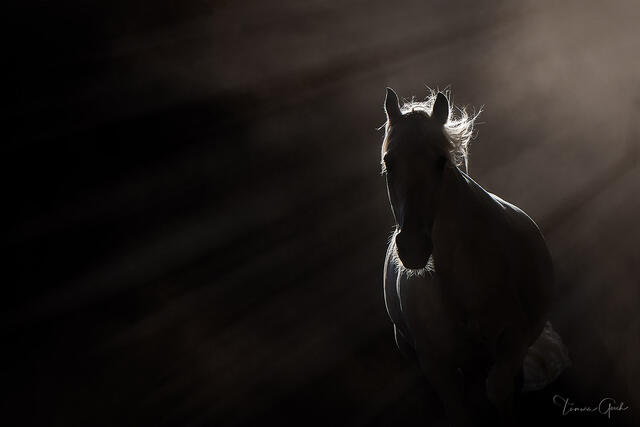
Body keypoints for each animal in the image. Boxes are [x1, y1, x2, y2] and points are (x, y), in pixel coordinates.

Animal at [380, 88, 570, 426]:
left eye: (441, 162)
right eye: (389, 162)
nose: (413, 248)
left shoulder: (515, 337)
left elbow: (498, 390)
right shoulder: (435, 364)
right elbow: (459, 411)